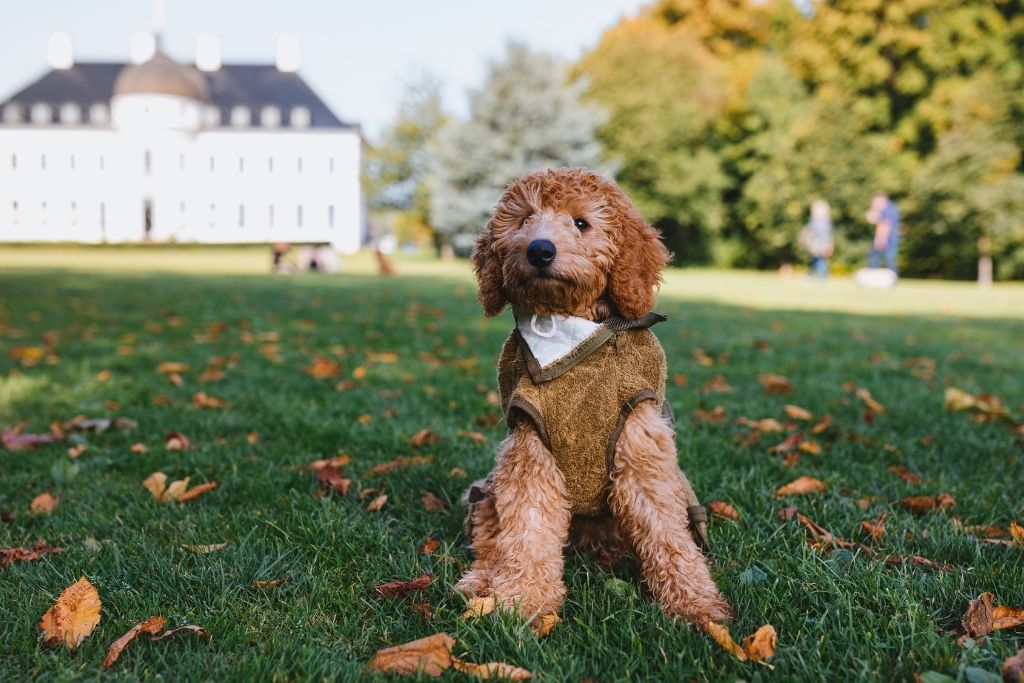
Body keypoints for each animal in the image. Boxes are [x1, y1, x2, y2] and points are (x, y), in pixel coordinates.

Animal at [460, 167, 733, 626]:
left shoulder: (641, 450)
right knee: (489, 540)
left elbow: (667, 535)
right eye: (524, 219)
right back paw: (481, 582)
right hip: (488, 491)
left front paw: (695, 603)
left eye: (581, 223)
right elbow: (528, 531)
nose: (539, 250)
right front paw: (524, 601)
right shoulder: (530, 454)